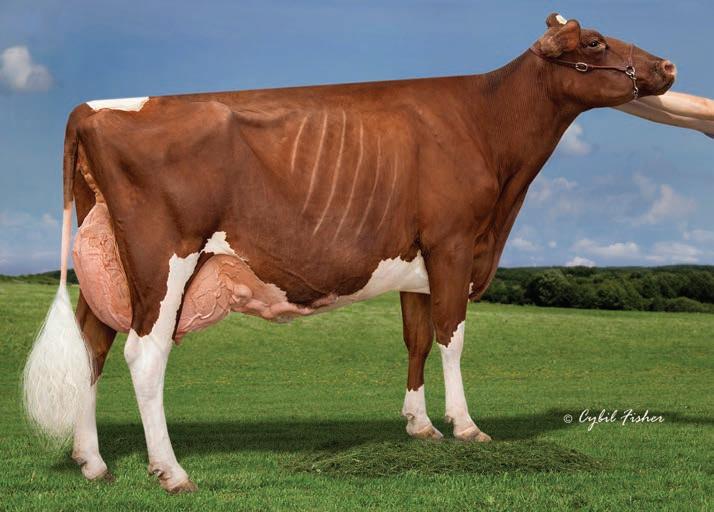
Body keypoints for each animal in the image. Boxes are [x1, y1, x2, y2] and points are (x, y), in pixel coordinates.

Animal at [23, 13, 707, 493]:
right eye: (593, 42)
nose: (670, 64)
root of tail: (94, 106)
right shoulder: (454, 242)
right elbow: (451, 336)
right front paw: (467, 428)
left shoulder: (418, 262)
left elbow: (415, 339)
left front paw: (420, 426)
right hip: (162, 258)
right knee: (144, 354)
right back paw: (171, 472)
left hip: (110, 263)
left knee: (92, 346)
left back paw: (92, 462)